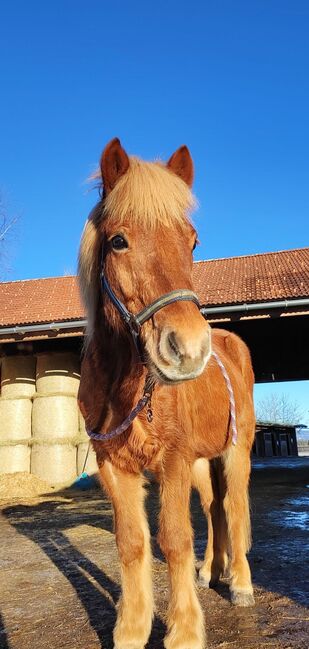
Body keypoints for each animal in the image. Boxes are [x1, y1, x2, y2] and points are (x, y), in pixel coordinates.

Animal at [77, 138, 255, 648]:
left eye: (192, 241)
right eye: (118, 241)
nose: (188, 348)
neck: (126, 387)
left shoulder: (173, 460)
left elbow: (174, 540)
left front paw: (184, 632)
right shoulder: (115, 466)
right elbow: (132, 542)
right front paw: (132, 628)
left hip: (235, 453)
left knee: (234, 507)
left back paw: (239, 583)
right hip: (201, 463)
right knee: (214, 509)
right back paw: (211, 571)